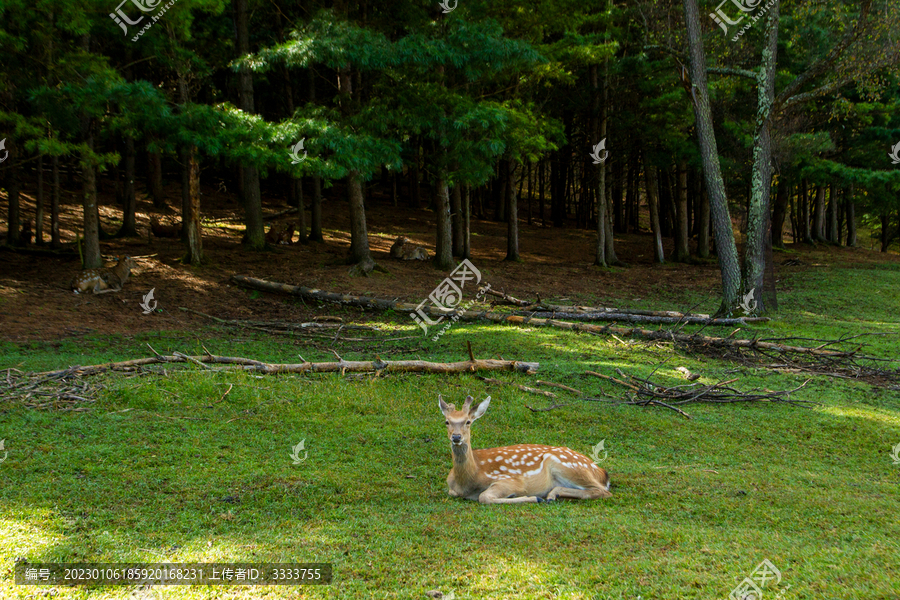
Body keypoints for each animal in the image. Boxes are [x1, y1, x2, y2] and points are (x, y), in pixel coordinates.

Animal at [442, 396, 612, 504]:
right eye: (447, 421)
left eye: (468, 422)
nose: (456, 437)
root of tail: (601, 472)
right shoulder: (452, 489)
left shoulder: (511, 480)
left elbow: (484, 497)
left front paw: (533, 498)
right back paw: (553, 495)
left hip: (568, 466)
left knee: (602, 491)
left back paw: (549, 495)